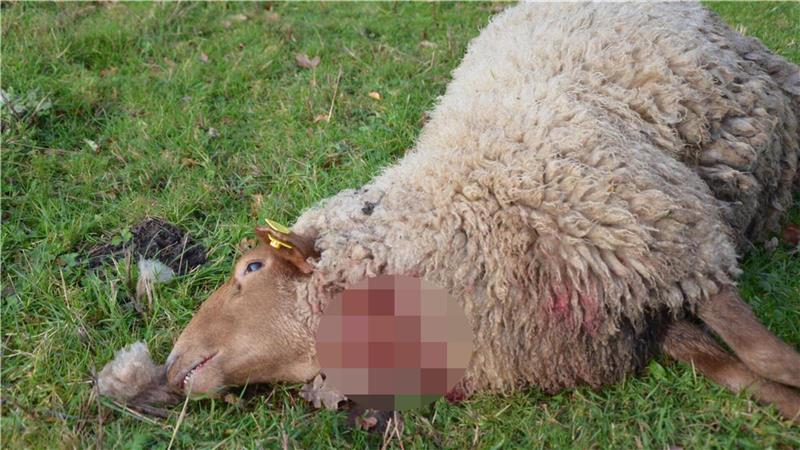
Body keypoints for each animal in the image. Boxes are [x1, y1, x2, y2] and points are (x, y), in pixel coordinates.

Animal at [107, 3, 800, 421]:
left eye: (250, 269)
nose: (172, 363)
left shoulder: (680, 248)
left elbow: (769, 358)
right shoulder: (632, 318)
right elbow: (739, 373)